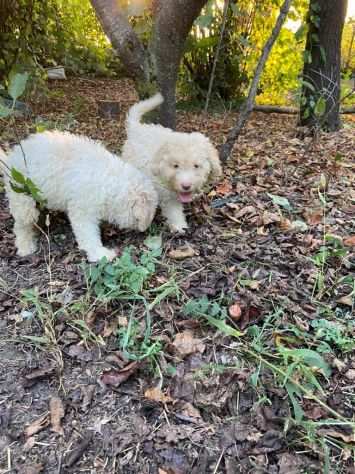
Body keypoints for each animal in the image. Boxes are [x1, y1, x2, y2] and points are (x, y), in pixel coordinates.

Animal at [1, 131, 157, 262]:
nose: (146, 229)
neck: (110, 182)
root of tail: (11, 157)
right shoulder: (83, 210)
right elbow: (88, 234)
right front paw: (100, 254)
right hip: (22, 197)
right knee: (21, 225)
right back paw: (25, 246)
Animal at [122, 93, 222, 231]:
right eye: (175, 166)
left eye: (196, 166)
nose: (186, 186)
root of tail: (136, 128)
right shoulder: (167, 195)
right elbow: (173, 210)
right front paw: (179, 226)